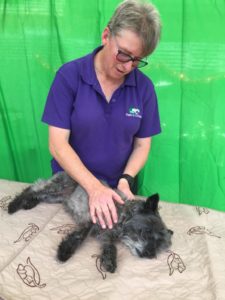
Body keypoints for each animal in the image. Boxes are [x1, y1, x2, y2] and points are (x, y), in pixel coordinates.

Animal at [7, 171, 172, 272]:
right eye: (147, 231)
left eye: (159, 247)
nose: (150, 255)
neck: (122, 215)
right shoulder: (91, 221)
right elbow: (79, 236)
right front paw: (64, 252)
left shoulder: (105, 235)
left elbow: (111, 247)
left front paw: (109, 261)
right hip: (55, 188)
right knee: (32, 189)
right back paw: (14, 205)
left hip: (56, 197)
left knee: (37, 194)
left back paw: (29, 204)